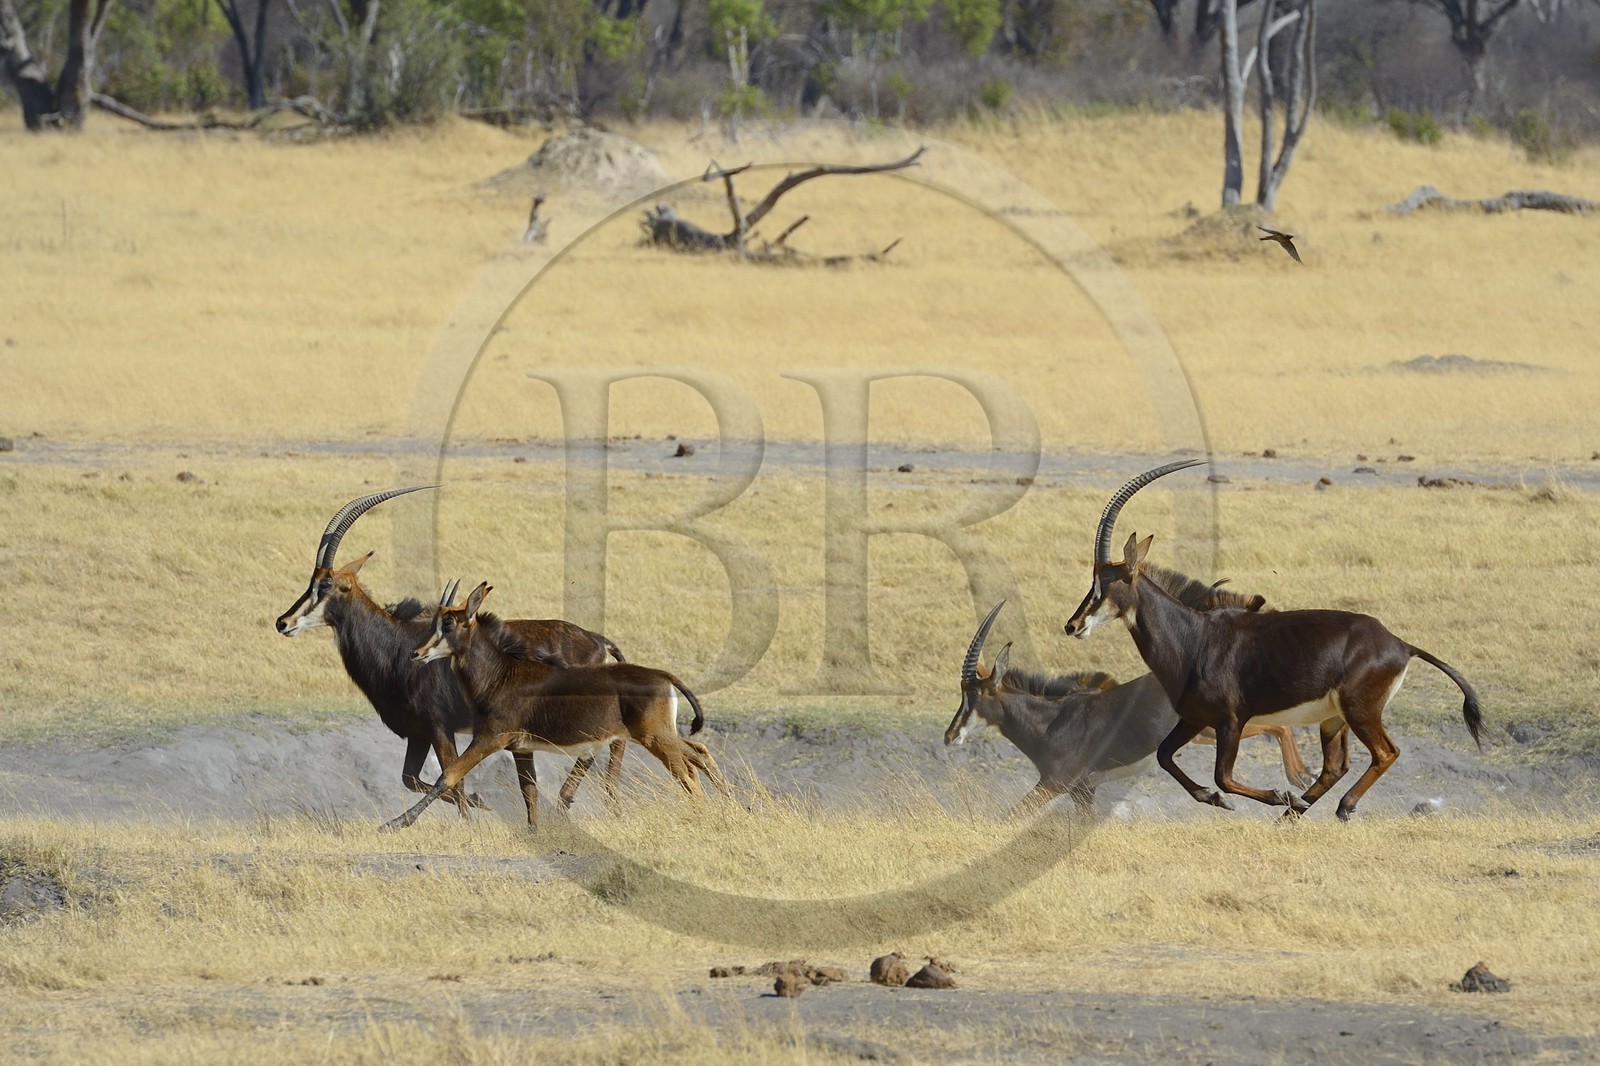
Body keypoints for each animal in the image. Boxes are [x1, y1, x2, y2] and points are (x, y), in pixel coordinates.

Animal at [275, 487, 628, 811]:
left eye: (327, 585)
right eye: (310, 582)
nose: (283, 622)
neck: (397, 644)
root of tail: (599, 641)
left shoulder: (438, 727)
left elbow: (452, 781)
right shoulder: (418, 734)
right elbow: (413, 780)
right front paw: (479, 801)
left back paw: (580, 798)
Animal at [383, 581, 724, 830]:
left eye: (449, 623)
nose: (416, 653)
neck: (501, 674)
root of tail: (664, 676)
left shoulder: (491, 737)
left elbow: (449, 775)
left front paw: (396, 823)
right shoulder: (520, 747)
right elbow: (529, 790)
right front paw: (535, 832)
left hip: (654, 737)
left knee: (687, 771)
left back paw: (705, 814)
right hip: (661, 735)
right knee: (699, 753)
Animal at [946, 596, 1314, 815]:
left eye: (975, 695)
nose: (950, 736)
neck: (1050, 721)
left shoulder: (1054, 783)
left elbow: (1012, 815)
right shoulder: (1082, 790)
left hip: (1209, 728)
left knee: (1278, 724)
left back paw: (1299, 779)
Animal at [1062, 459, 1483, 819]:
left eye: (1105, 584)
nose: (1072, 626)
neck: (1194, 638)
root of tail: (1401, 644)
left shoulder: (1231, 720)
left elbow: (1223, 776)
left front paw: (1272, 795)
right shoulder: (1195, 718)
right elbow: (1167, 757)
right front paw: (1221, 799)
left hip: (1360, 712)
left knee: (1385, 752)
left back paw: (1335, 807)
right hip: (1333, 719)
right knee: (1335, 766)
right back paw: (1294, 812)